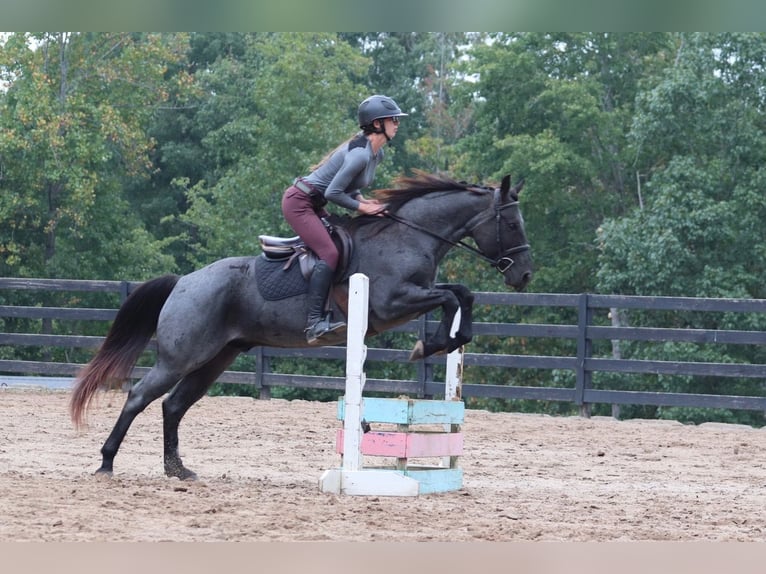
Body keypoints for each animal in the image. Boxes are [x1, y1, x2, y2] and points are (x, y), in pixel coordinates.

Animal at [70, 171, 536, 482]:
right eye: (513, 223)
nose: (524, 275)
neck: (409, 236)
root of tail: (184, 280)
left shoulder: (414, 295)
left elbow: (462, 294)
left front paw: (449, 339)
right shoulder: (392, 303)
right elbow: (451, 297)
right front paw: (433, 344)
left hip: (216, 358)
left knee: (173, 405)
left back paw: (177, 469)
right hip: (181, 356)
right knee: (139, 397)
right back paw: (106, 462)